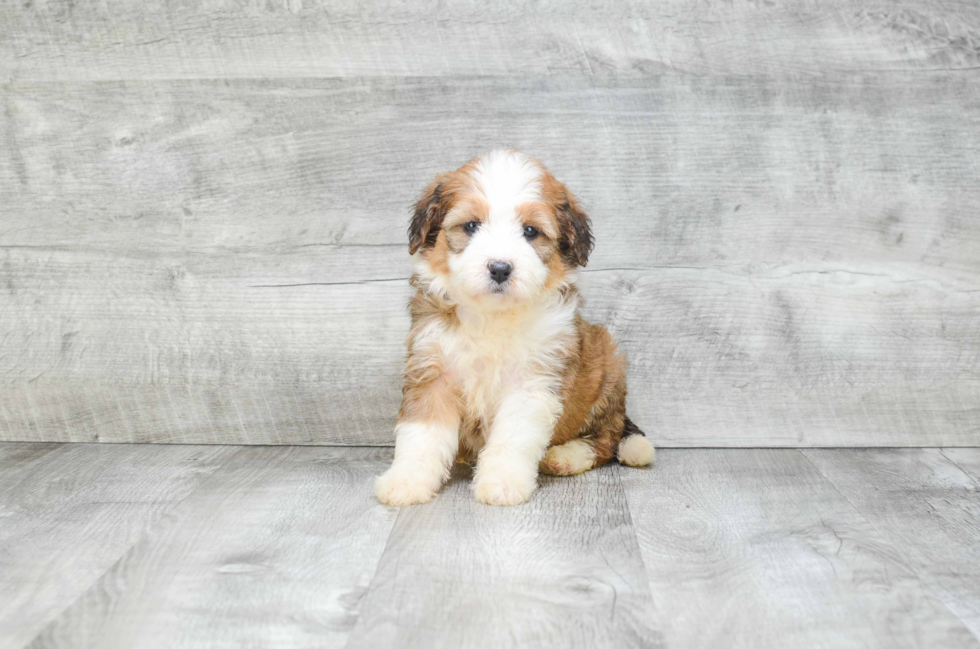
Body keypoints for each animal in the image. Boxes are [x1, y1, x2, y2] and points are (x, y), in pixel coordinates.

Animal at [374, 152, 652, 506]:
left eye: (530, 231)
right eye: (471, 226)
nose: (500, 268)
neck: (493, 314)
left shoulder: (534, 380)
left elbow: (513, 436)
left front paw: (502, 482)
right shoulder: (432, 367)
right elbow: (421, 433)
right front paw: (407, 481)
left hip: (606, 368)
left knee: (606, 439)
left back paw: (567, 456)